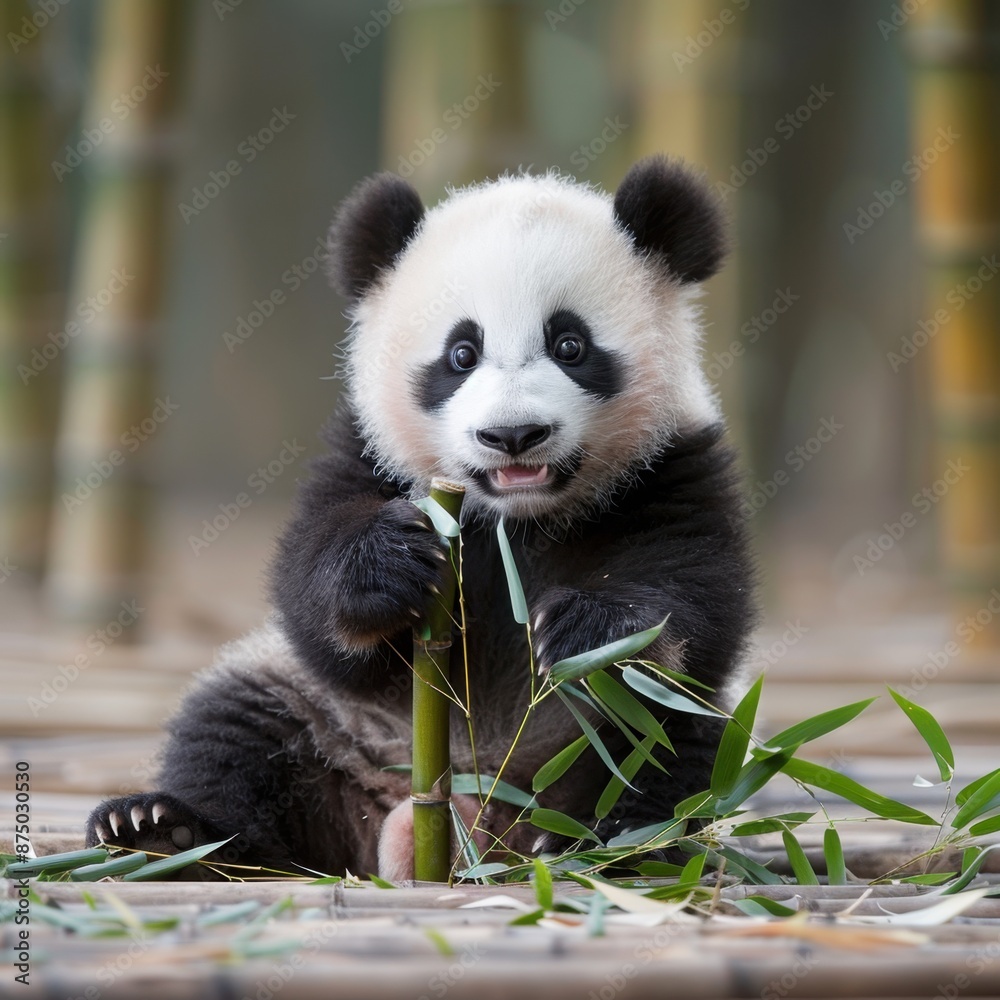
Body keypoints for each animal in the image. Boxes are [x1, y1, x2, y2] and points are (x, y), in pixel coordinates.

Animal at [86, 156, 756, 880]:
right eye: (461, 354)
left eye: (570, 344)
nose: (513, 435)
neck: (516, 518)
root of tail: (473, 815)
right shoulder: (365, 453)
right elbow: (312, 595)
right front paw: (388, 563)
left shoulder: (673, 467)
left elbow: (693, 599)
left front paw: (590, 629)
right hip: (330, 720)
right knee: (237, 729)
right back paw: (164, 831)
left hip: (616, 745)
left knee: (671, 745)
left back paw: (610, 847)